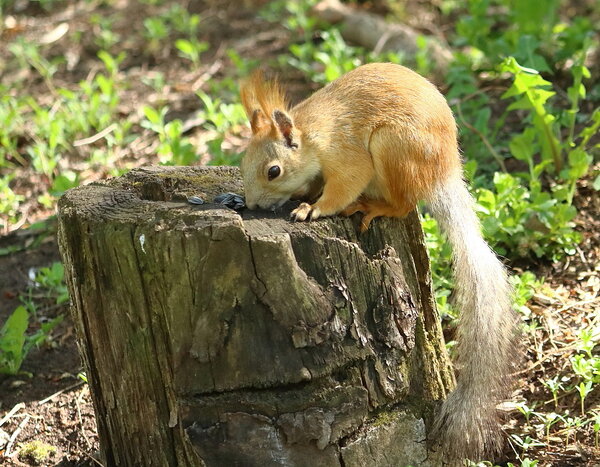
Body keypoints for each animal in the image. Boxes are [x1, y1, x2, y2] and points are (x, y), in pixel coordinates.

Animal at [237, 62, 516, 460]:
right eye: (242, 162)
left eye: (273, 170)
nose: (252, 206)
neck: (313, 136)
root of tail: (443, 171)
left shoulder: (347, 157)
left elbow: (343, 186)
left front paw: (312, 208)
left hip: (394, 147)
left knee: (404, 204)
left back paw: (373, 206)